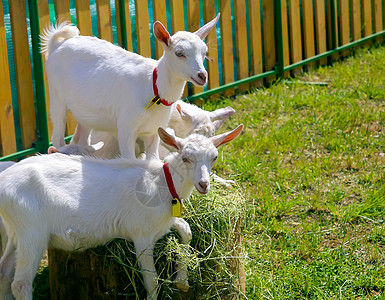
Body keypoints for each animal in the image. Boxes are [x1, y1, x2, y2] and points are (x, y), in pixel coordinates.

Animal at [0, 124, 242, 300]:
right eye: (185, 157)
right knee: (20, 284)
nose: (204, 184)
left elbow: (186, 230)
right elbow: (151, 280)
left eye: (214, 157)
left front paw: (182, 282)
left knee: (4, 274)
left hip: (15, 232)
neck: (161, 183)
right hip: (32, 232)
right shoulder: (141, 235)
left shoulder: (162, 223)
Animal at [41, 14, 219, 159]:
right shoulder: (126, 128)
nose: (202, 76)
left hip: (85, 113)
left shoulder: (154, 131)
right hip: (56, 97)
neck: (152, 86)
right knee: (57, 137)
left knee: (82, 139)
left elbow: (153, 160)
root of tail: (56, 45)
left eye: (204, 52)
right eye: (179, 53)